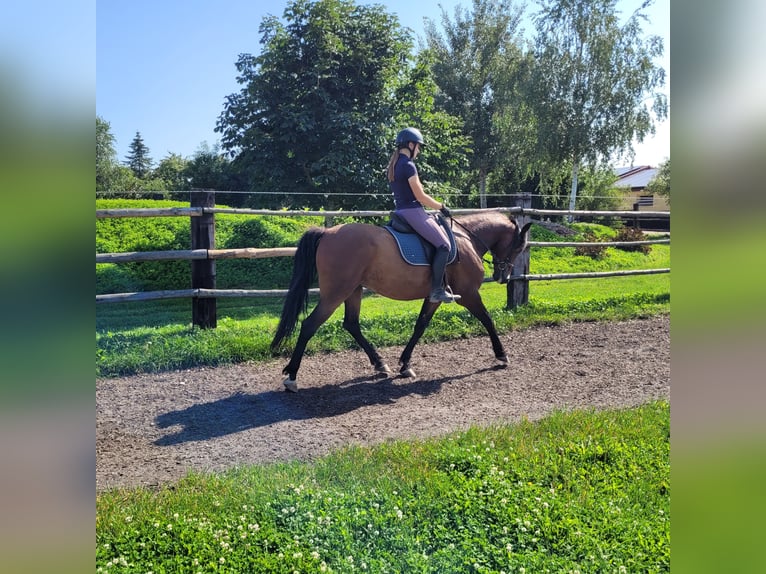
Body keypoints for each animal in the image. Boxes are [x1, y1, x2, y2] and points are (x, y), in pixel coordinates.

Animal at [272, 214, 536, 394]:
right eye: (518, 246)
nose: (503, 277)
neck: (466, 239)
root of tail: (326, 233)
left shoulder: (434, 296)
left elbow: (420, 326)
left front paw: (405, 364)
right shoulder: (469, 294)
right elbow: (488, 320)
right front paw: (502, 355)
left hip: (353, 290)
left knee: (351, 324)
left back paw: (380, 364)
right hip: (336, 292)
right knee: (309, 325)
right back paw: (292, 376)